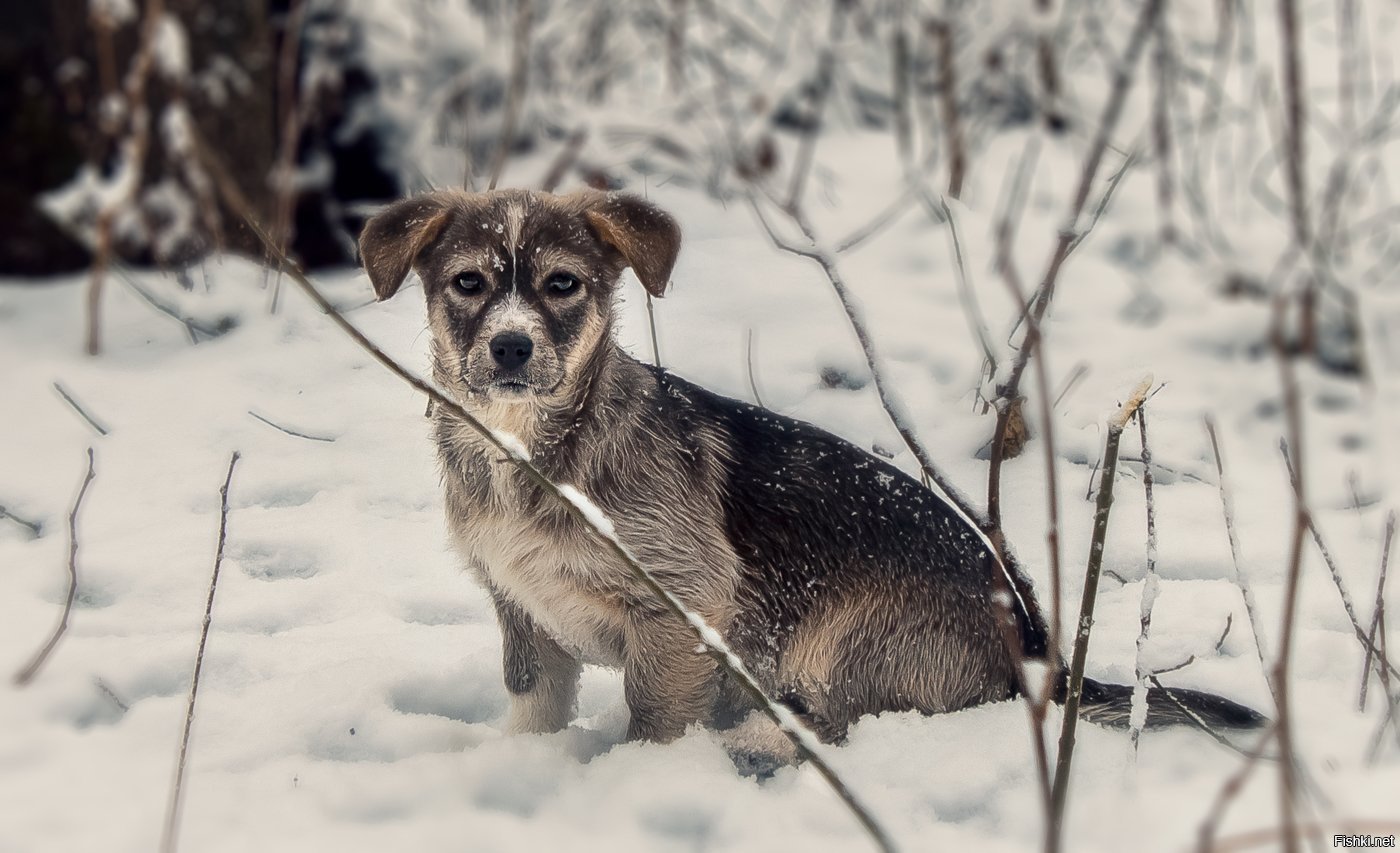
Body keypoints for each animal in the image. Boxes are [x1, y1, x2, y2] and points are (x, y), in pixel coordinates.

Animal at [361, 187, 1271, 750]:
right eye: (468, 283)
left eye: (562, 285)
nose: (511, 348)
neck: (530, 454)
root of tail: (1044, 651)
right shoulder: (523, 609)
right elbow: (534, 705)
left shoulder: (680, 607)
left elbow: (654, 716)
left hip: (845, 638)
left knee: (839, 717)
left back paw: (762, 737)